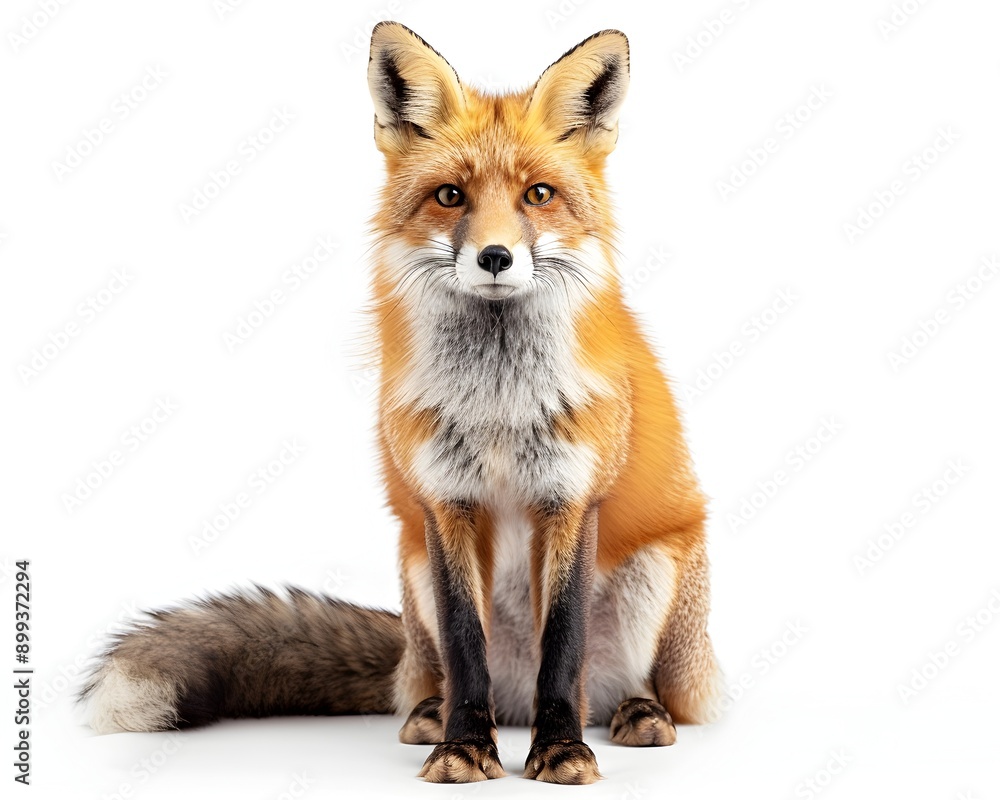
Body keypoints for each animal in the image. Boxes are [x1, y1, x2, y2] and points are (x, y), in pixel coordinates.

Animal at [80, 22, 722, 785]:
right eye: (450, 195)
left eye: (538, 194)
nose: (496, 257)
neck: (497, 408)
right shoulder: (444, 502)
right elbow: (466, 646)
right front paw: (463, 749)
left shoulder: (570, 496)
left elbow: (562, 649)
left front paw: (561, 750)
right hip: (413, 573)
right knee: (448, 674)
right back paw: (433, 715)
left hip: (659, 572)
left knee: (623, 683)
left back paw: (636, 711)